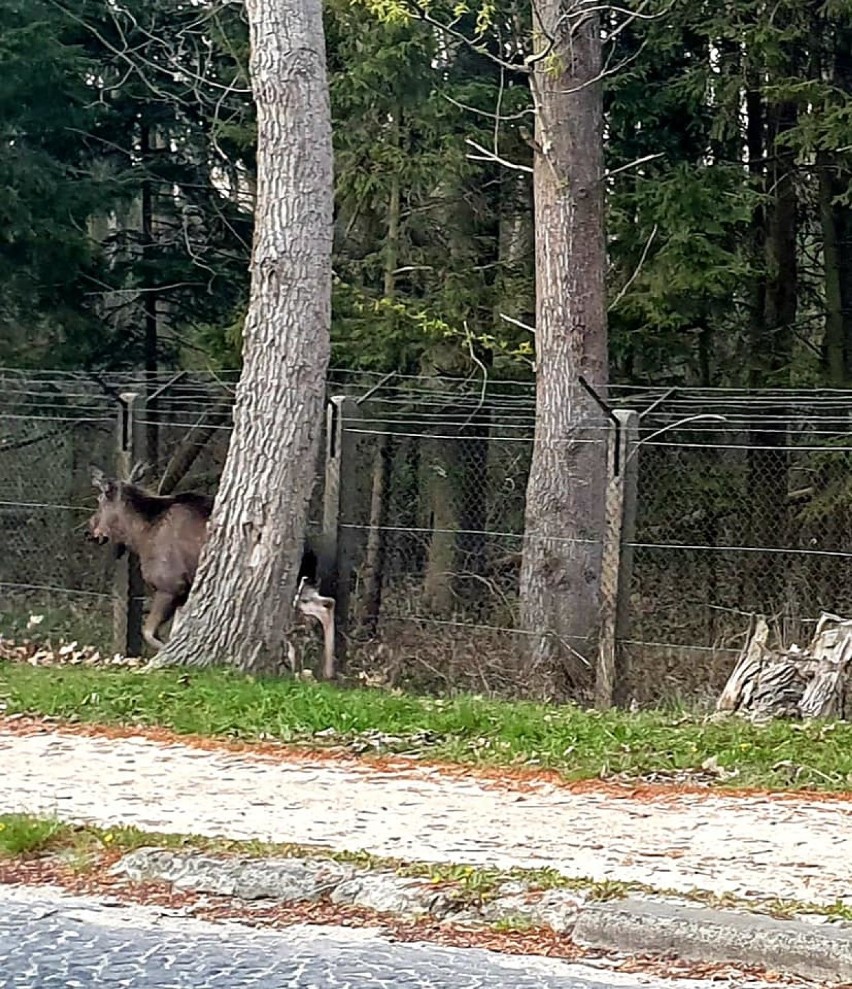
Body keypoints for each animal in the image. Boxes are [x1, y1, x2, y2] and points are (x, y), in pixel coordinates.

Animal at [87, 464, 336, 680]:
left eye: (99, 500)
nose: (91, 531)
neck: (140, 535)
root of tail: (311, 551)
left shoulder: (170, 585)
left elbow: (149, 631)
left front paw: (162, 656)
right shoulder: (184, 593)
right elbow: (174, 629)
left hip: (290, 586)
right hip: (305, 585)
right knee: (325, 605)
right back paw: (323, 671)